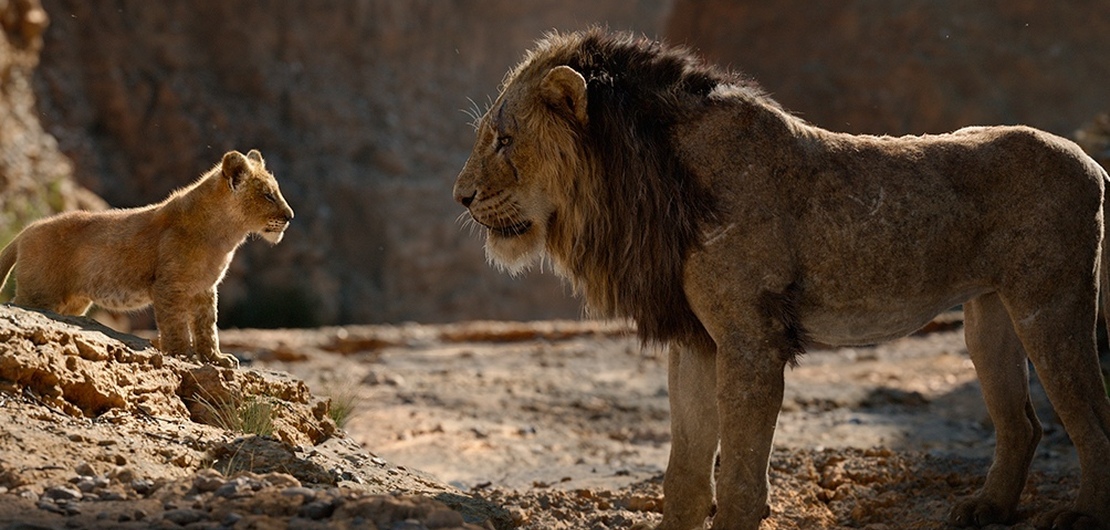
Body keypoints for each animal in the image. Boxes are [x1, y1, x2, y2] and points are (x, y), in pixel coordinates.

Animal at [0, 149, 294, 369]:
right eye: (268, 194)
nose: (290, 216)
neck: (225, 235)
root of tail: (26, 230)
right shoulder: (168, 286)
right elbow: (176, 324)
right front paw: (182, 354)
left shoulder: (205, 289)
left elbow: (207, 326)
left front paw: (216, 359)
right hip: (39, 295)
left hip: (72, 303)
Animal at [454, 29, 1110, 530]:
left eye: (505, 140)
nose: (460, 197)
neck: (646, 181)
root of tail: (1090, 159)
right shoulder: (697, 340)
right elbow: (685, 471)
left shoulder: (752, 341)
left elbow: (740, 475)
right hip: (990, 315)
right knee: (1023, 424)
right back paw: (985, 509)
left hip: (1050, 304)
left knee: (1092, 418)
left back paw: (1082, 515)